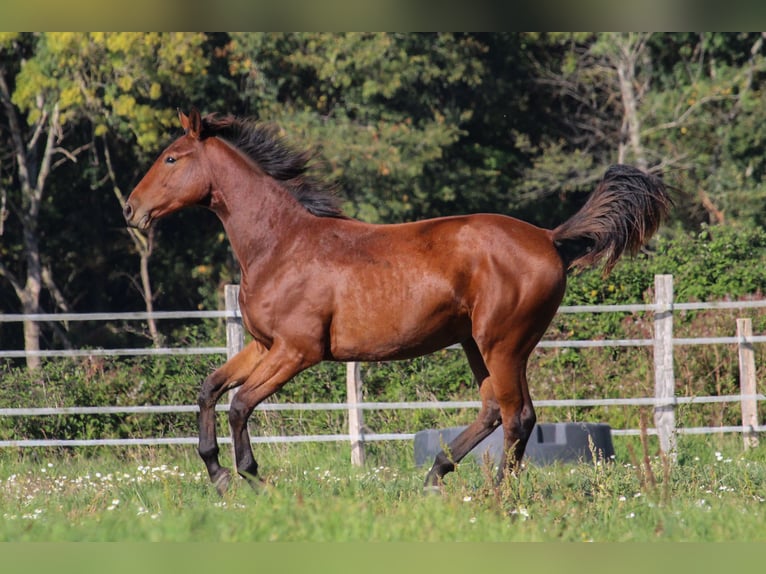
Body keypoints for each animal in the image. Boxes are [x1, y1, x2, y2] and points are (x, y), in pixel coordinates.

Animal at [124, 108, 671, 495]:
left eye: (171, 158)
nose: (130, 208)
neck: (281, 243)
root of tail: (548, 237)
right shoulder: (263, 345)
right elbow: (209, 390)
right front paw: (217, 473)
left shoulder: (298, 351)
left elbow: (239, 405)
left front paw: (252, 479)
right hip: (476, 344)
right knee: (495, 411)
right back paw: (435, 475)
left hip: (504, 343)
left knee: (519, 417)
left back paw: (496, 493)